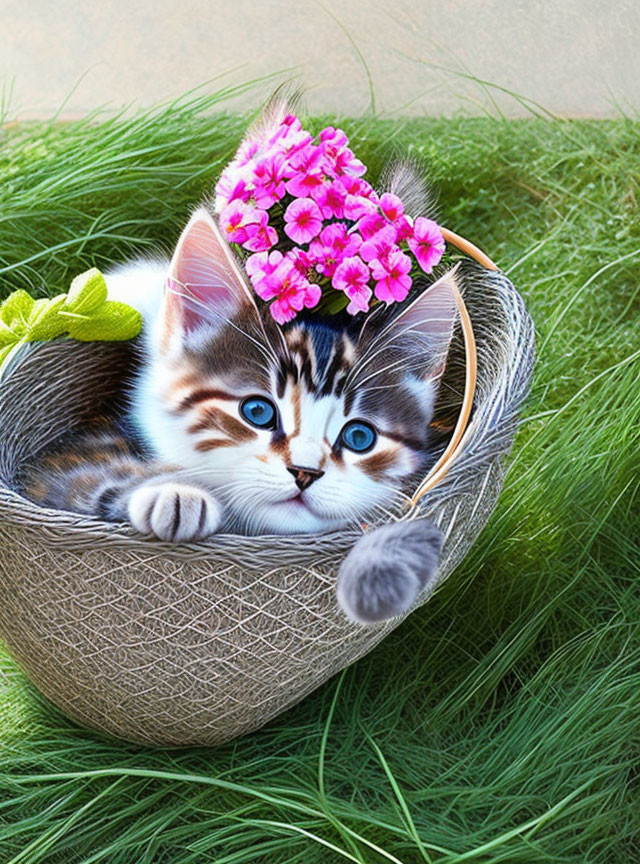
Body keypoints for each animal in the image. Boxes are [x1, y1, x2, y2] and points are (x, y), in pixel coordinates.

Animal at [23, 211, 456, 628]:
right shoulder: (55, 465)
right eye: (257, 412)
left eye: (359, 437)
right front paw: (175, 493)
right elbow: (87, 473)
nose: (304, 473)